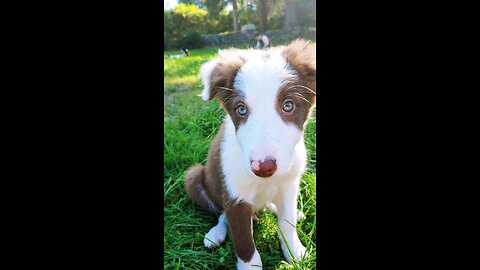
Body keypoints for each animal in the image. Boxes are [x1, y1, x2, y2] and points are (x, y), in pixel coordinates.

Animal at [184, 39, 316, 268]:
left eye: (288, 105)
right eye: (241, 109)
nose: (263, 167)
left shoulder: (290, 184)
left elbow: (287, 223)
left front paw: (295, 252)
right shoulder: (234, 196)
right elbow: (244, 242)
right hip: (194, 177)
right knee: (221, 214)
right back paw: (215, 234)